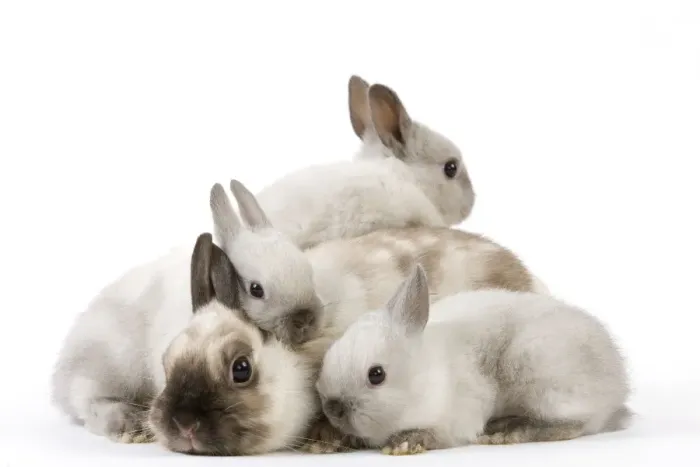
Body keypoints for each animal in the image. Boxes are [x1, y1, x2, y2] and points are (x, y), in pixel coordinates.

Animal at [313, 264, 631, 455]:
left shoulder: (460, 416)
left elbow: (438, 434)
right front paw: (329, 441)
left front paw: (405, 443)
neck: (424, 378)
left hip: (538, 368)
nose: (333, 408)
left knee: (573, 424)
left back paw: (508, 433)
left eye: (376, 374)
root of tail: (619, 385)